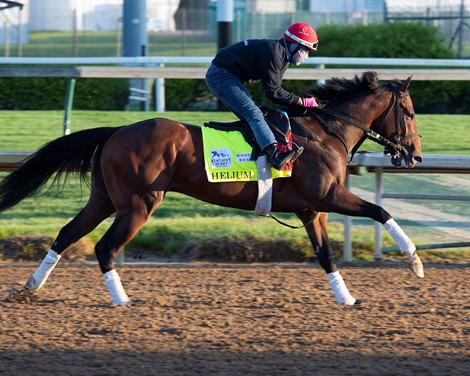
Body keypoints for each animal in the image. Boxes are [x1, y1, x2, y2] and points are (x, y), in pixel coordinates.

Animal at [0, 71, 424, 306]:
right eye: (409, 112)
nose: (415, 155)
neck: (325, 132)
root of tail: (116, 131)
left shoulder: (311, 210)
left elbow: (325, 256)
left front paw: (347, 298)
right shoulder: (327, 196)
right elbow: (381, 211)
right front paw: (415, 261)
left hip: (104, 199)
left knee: (66, 234)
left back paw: (29, 288)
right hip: (139, 204)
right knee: (106, 247)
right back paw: (121, 300)